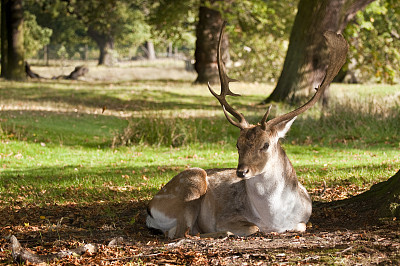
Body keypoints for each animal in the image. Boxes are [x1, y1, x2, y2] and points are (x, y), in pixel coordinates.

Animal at [145, 22, 348, 239]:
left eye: (265, 144)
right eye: (237, 144)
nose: (241, 172)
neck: (274, 219)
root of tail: (150, 208)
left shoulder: (304, 219)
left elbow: (301, 225)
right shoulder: (225, 216)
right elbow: (254, 227)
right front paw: (234, 229)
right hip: (191, 184)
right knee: (182, 233)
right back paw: (222, 233)